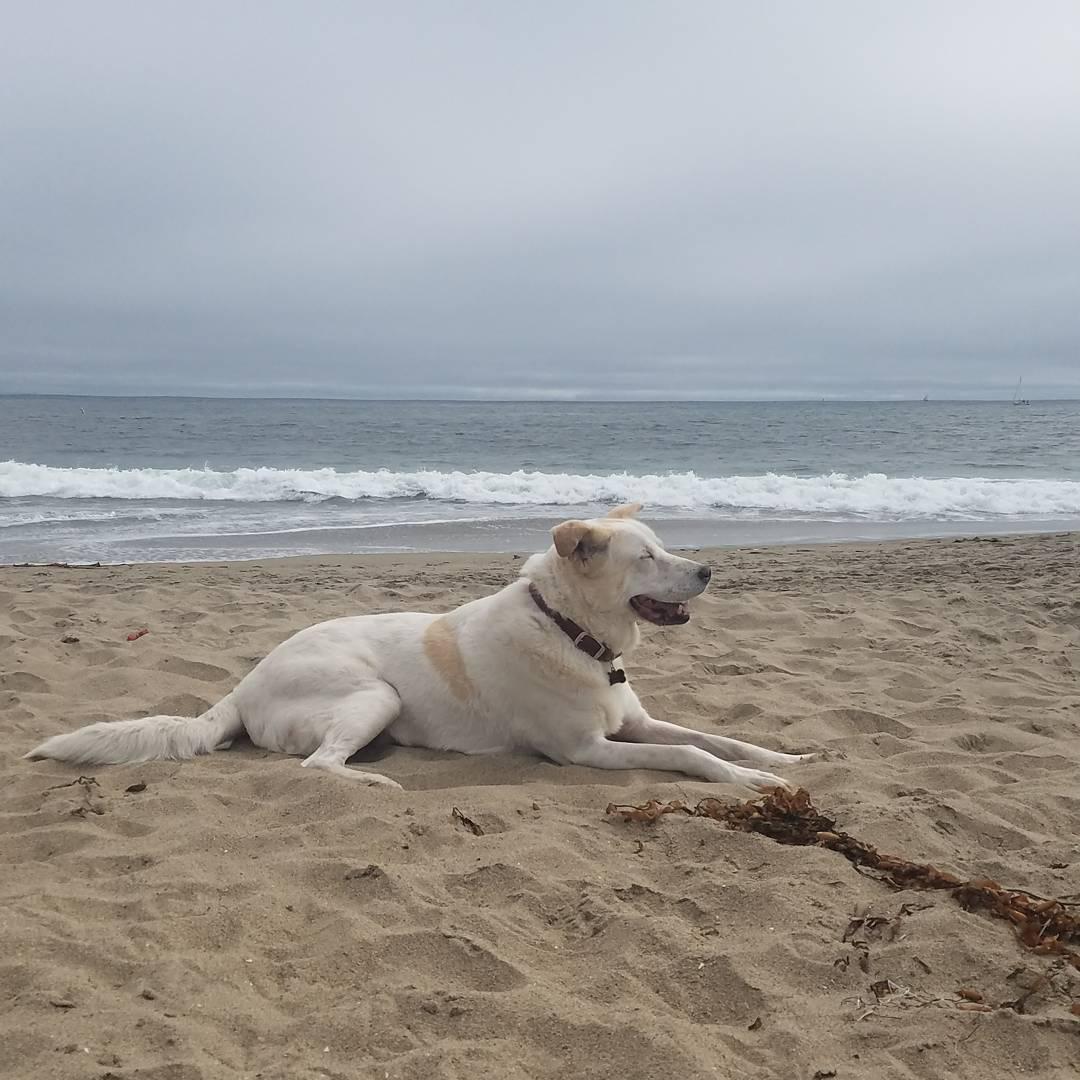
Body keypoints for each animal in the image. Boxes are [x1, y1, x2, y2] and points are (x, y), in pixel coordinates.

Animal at [23, 505, 812, 794]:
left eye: (665, 546)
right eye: (646, 557)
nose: (708, 571)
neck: (570, 630)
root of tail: (243, 687)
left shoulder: (635, 722)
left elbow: (716, 736)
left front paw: (784, 759)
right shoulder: (587, 751)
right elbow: (690, 756)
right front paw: (754, 783)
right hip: (376, 694)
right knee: (317, 768)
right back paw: (376, 784)